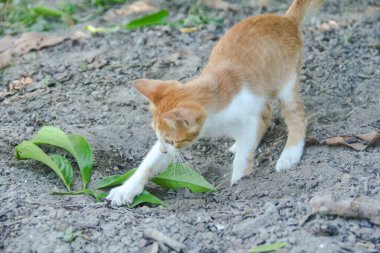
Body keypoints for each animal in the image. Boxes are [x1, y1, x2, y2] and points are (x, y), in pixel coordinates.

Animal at [107, 0, 324, 206]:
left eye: (171, 140)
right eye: (159, 138)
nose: (163, 149)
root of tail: (286, 20)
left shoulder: (247, 119)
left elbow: (242, 159)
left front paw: (239, 185)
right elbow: (149, 163)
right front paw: (126, 188)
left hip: (286, 83)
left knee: (297, 117)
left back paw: (290, 154)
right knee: (266, 112)